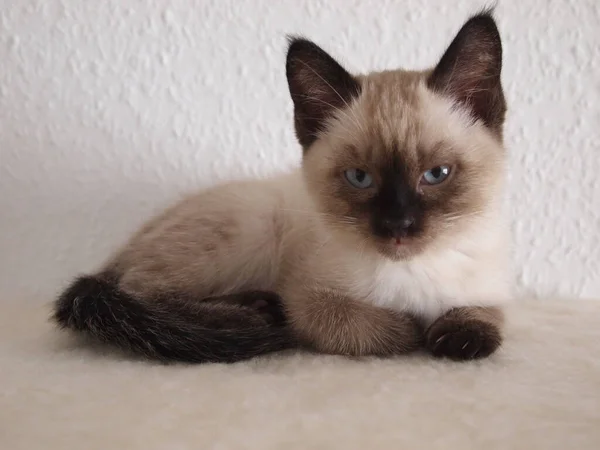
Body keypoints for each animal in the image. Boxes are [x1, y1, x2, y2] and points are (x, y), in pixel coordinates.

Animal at [54, 9, 510, 362]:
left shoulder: (488, 289)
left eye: (437, 174)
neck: (411, 273)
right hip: (250, 225)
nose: (398, 227)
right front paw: (411, 329)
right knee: (139, 292)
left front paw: (456, 335)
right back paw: (254, 313)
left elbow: (484, 316)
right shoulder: (309, 297)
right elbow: (376, 330)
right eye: (359, 178)